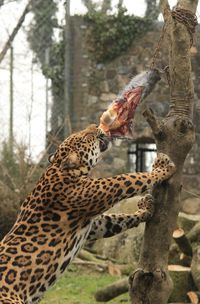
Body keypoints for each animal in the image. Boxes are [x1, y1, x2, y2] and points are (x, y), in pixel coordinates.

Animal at [0, 124, 175, 302]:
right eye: (85, 137)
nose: (95, 126)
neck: (58, 167)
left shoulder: (94, 224)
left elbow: (116, 219)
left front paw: (145, 209)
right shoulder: (103, 189)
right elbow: (130, 177)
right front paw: (163, 167)